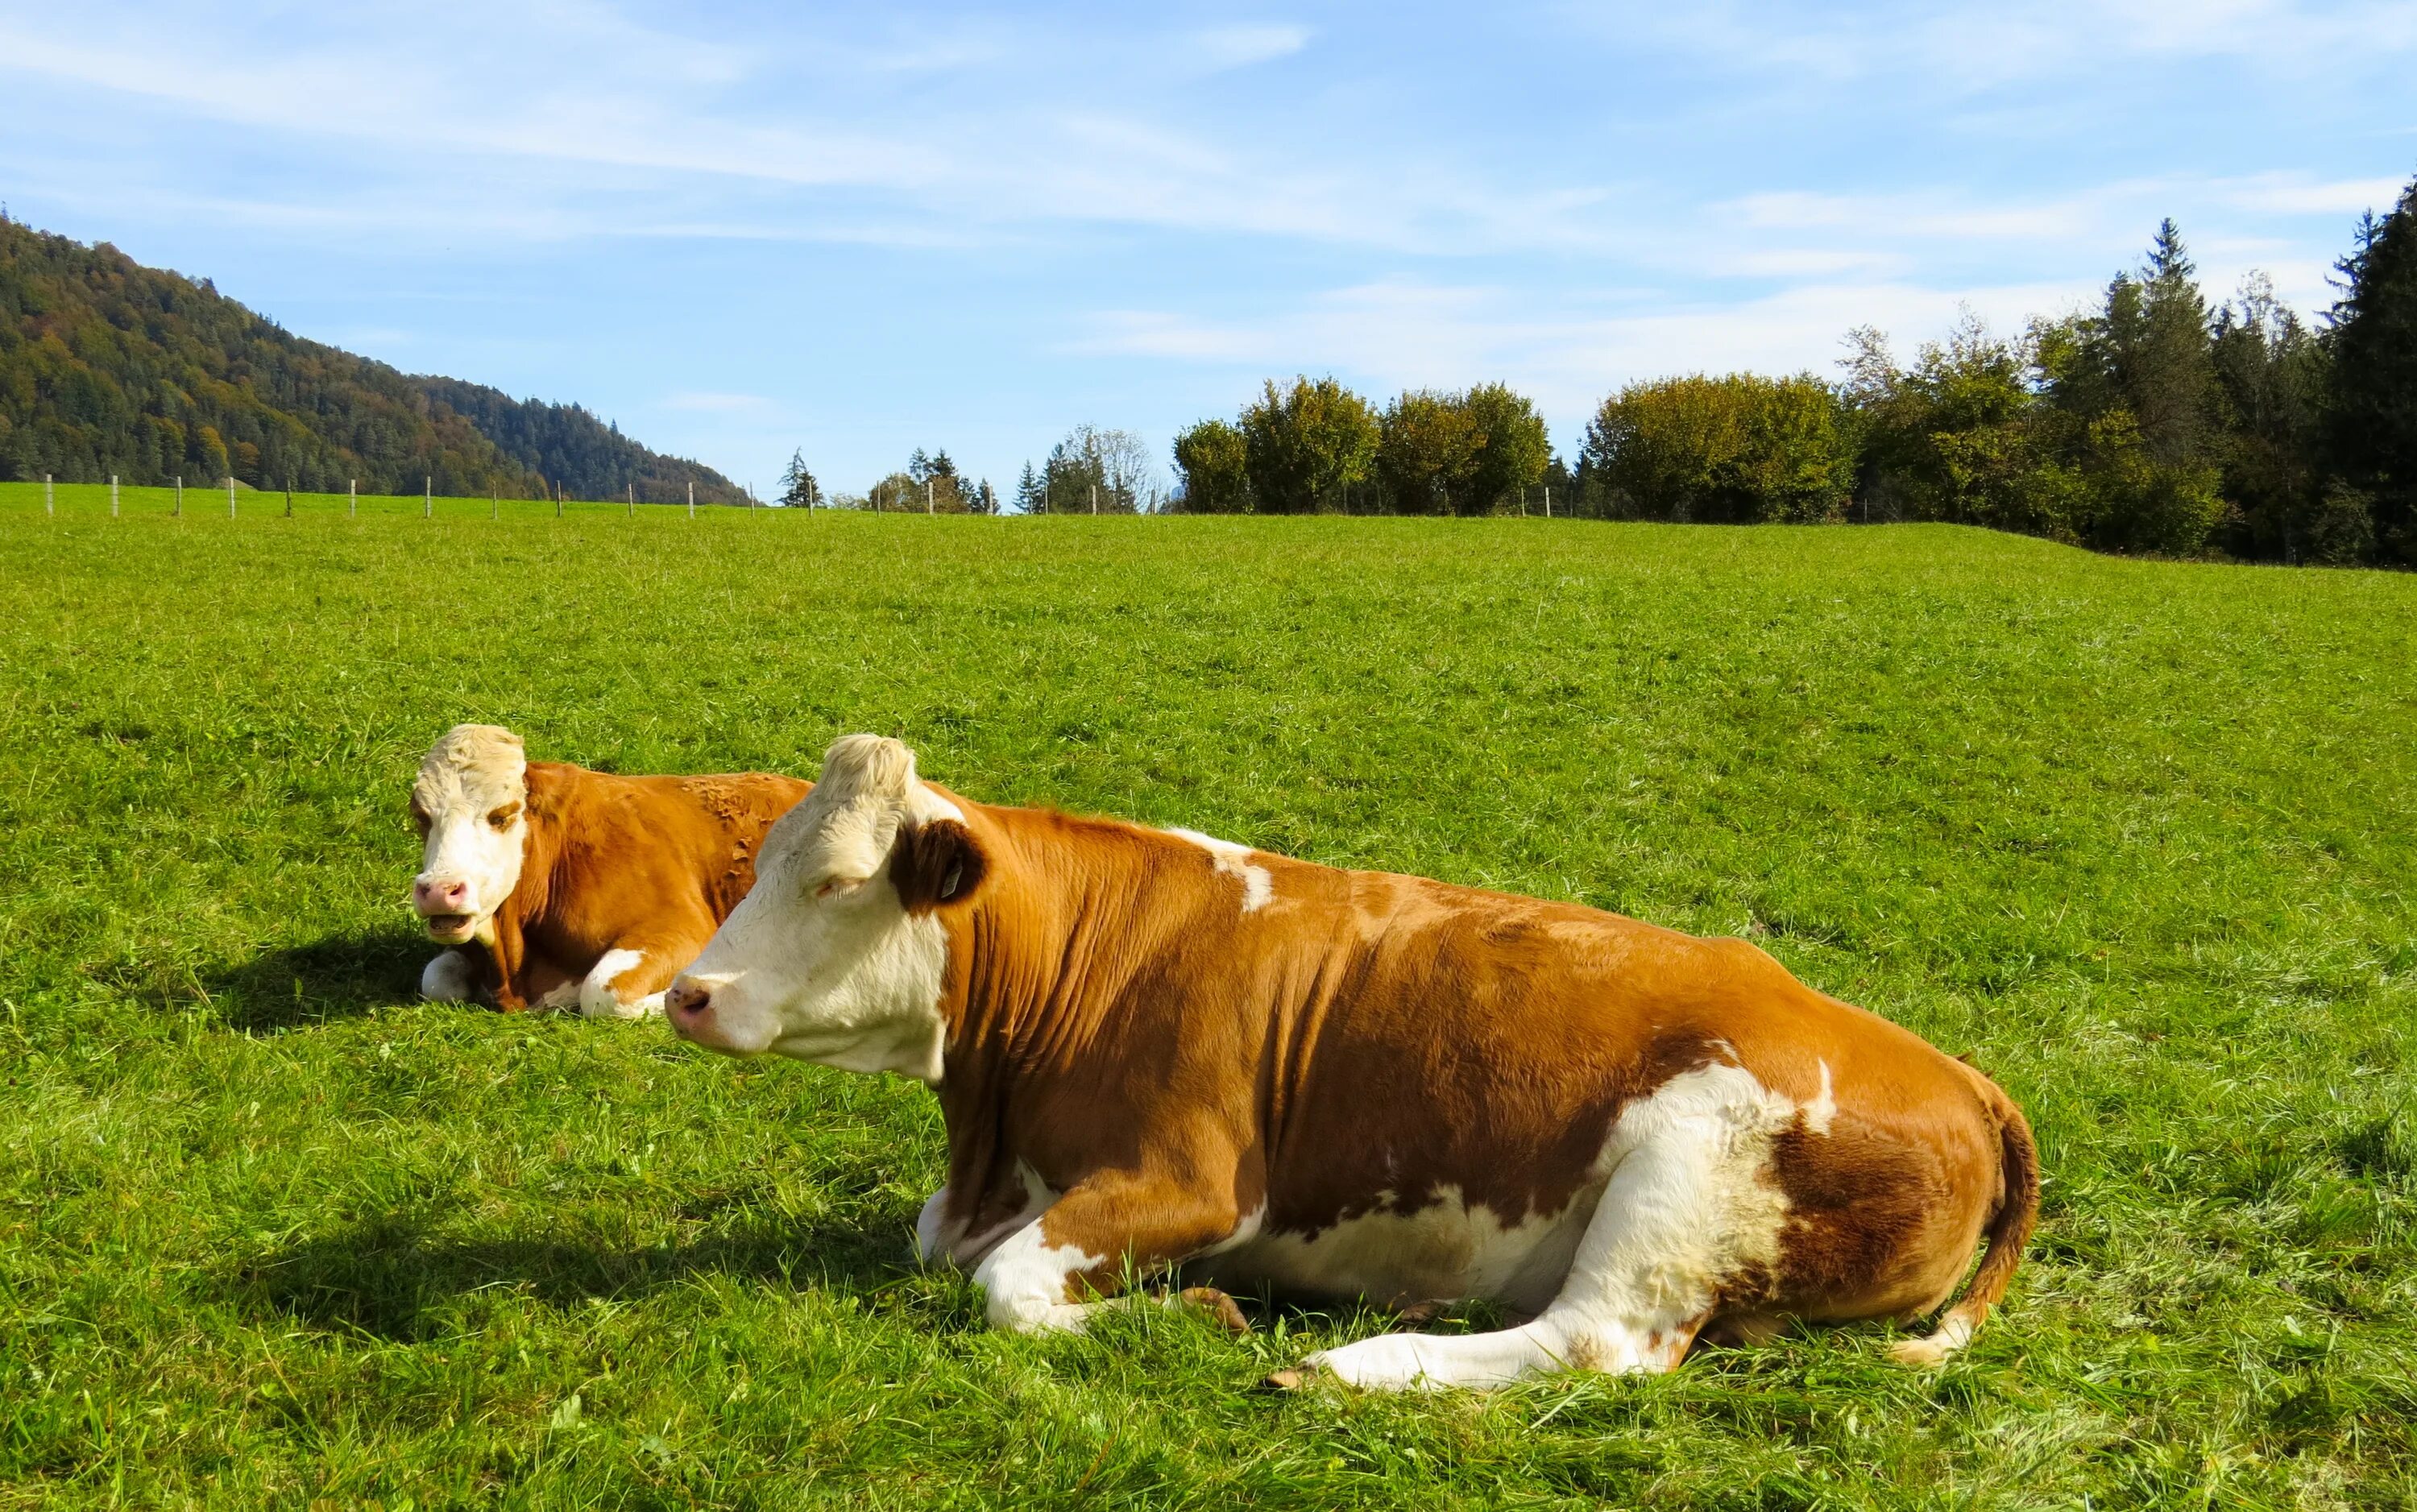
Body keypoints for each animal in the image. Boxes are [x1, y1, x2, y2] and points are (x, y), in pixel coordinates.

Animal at [411, 729, 817, 1019]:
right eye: (421, 816)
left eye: (502, 815)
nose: (440, 890)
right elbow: (435, 979)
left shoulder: (681, 927)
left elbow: (602, 993)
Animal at [662, 734, 2040, 1382]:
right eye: (761, 861)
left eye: (837, 880)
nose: (687, 992)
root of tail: (1962, 1076)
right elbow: (944, 1247)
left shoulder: (1199, 1178)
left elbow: (1003, 1286)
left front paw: (1199, 1308)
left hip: (1687, 1169)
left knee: (1593, 1339)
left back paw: (1347, 1363)